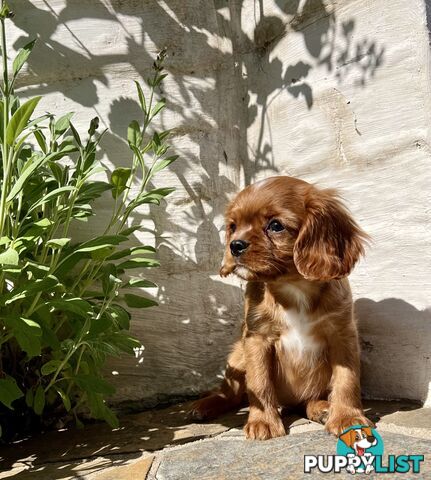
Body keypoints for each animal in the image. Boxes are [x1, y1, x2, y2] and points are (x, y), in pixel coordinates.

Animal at [193, 175, 374, 438]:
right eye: (233, 226)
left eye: (276, 225)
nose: (235, 245)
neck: (293, 287)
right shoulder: (257, 339)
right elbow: (259, 384)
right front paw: (263, 422)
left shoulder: (343, 336)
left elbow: (346, 380)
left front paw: (348, 418)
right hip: (237, 356)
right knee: (230, 394)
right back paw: (204, 406)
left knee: (310, 399)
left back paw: (322, 408)